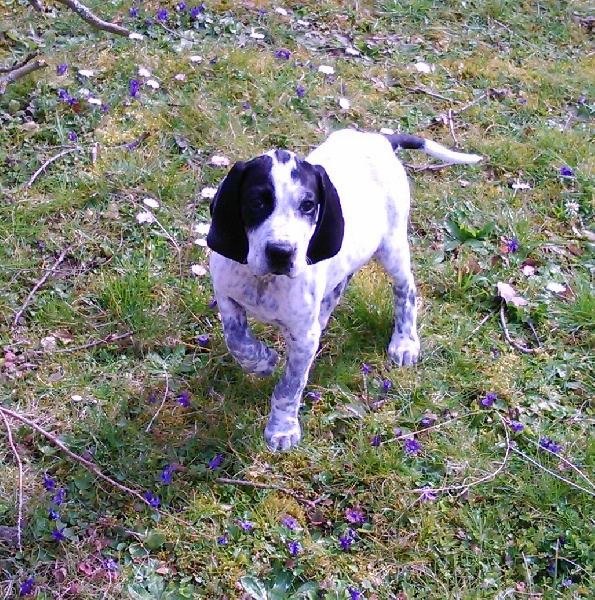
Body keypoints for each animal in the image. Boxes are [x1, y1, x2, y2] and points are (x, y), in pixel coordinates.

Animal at [207, 129, 482, 451]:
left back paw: (404, 342)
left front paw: (282, 429)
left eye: (308, 205)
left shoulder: (303, 337)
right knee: (338, 288)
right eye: (256, 202)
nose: (281, 252)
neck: (265, 283)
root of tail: (381, 139)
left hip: (392, 247)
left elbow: (290, 386)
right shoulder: (226, 295)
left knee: (406, 290)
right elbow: (237, 340)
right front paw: (262, 361)